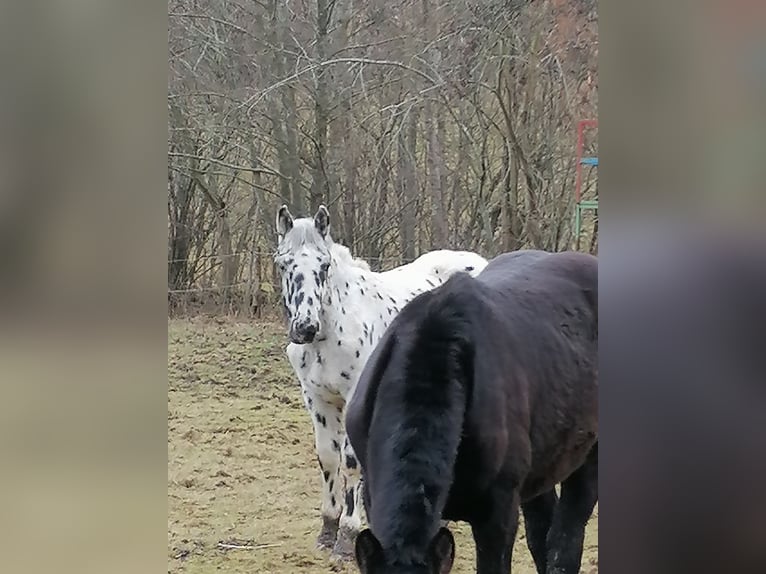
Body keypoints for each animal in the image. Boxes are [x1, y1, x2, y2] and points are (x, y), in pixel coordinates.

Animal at [272, 206, 488, 564]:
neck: (333, 327)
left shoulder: (351, 398)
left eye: (324, 265)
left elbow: (350, 463)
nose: (304, 327)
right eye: (283, 264)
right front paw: (327, 530)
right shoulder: (317, 399)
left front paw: (346, 539)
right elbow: (327, 457)